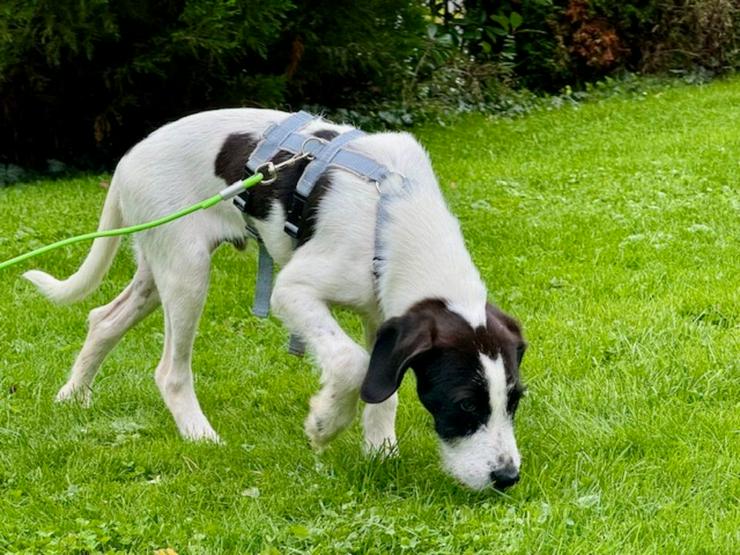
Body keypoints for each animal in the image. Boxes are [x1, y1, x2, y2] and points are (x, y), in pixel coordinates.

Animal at [24, 109, 528, 490]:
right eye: (465, 405)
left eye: (515, 401)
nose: (507, 478)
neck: (393, 213)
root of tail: (128, 157)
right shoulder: (294, 290)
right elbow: (351, 363)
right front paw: (324, 424)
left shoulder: (382, 317)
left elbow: (381, 390)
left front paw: (380, 453)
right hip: (187, 271)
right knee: (169, 370)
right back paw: (200, 435)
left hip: (156, 269)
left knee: (103, 318)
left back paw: (73, 394)